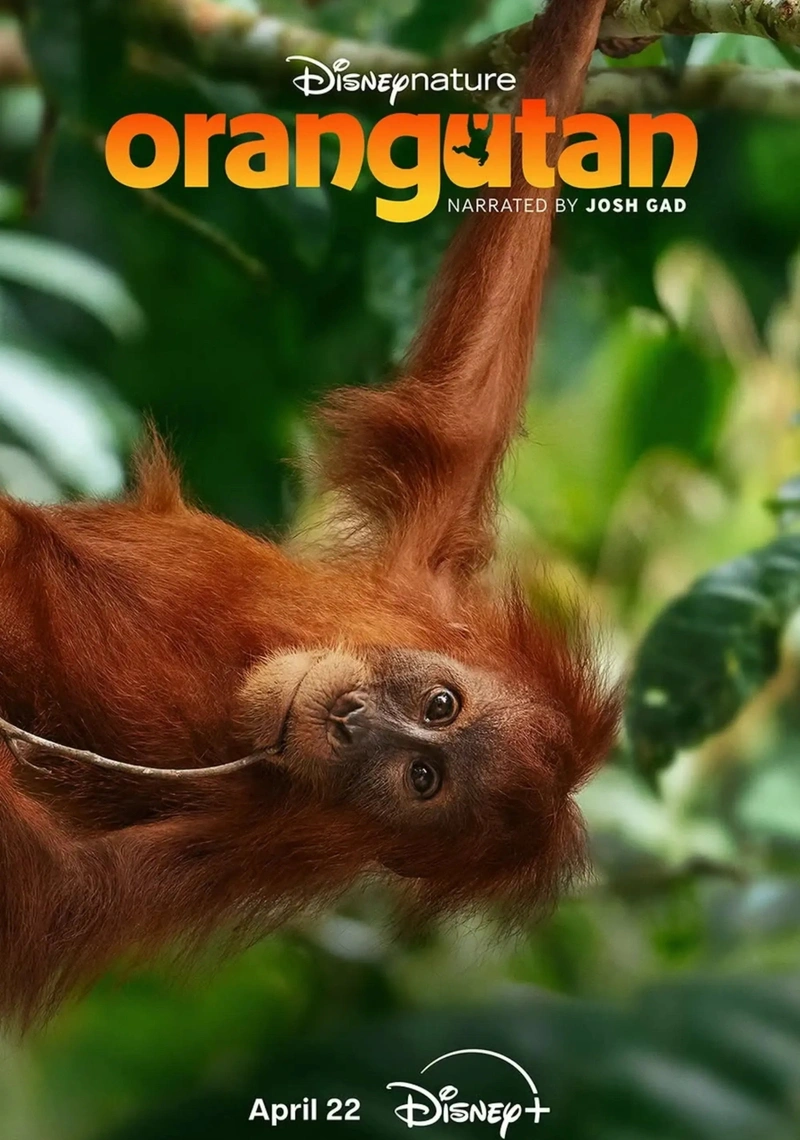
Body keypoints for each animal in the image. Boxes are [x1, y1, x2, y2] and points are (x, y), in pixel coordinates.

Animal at [0, 0, 617, 1028]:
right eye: (440, 705)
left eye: (421, 778)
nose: (355, 721)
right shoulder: (421, 585)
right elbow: (463, 411)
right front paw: (575, 32)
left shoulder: (259, 848)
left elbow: (65, 894)